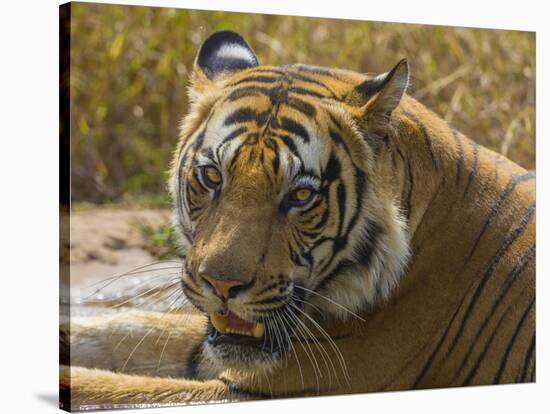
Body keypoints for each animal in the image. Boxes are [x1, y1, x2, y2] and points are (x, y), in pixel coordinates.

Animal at [59, 30, 536, 410]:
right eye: (213, 177)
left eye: (301, 195)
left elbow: (109, 388)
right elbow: (135, 328)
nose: (222, 286)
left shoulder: (271, 385)